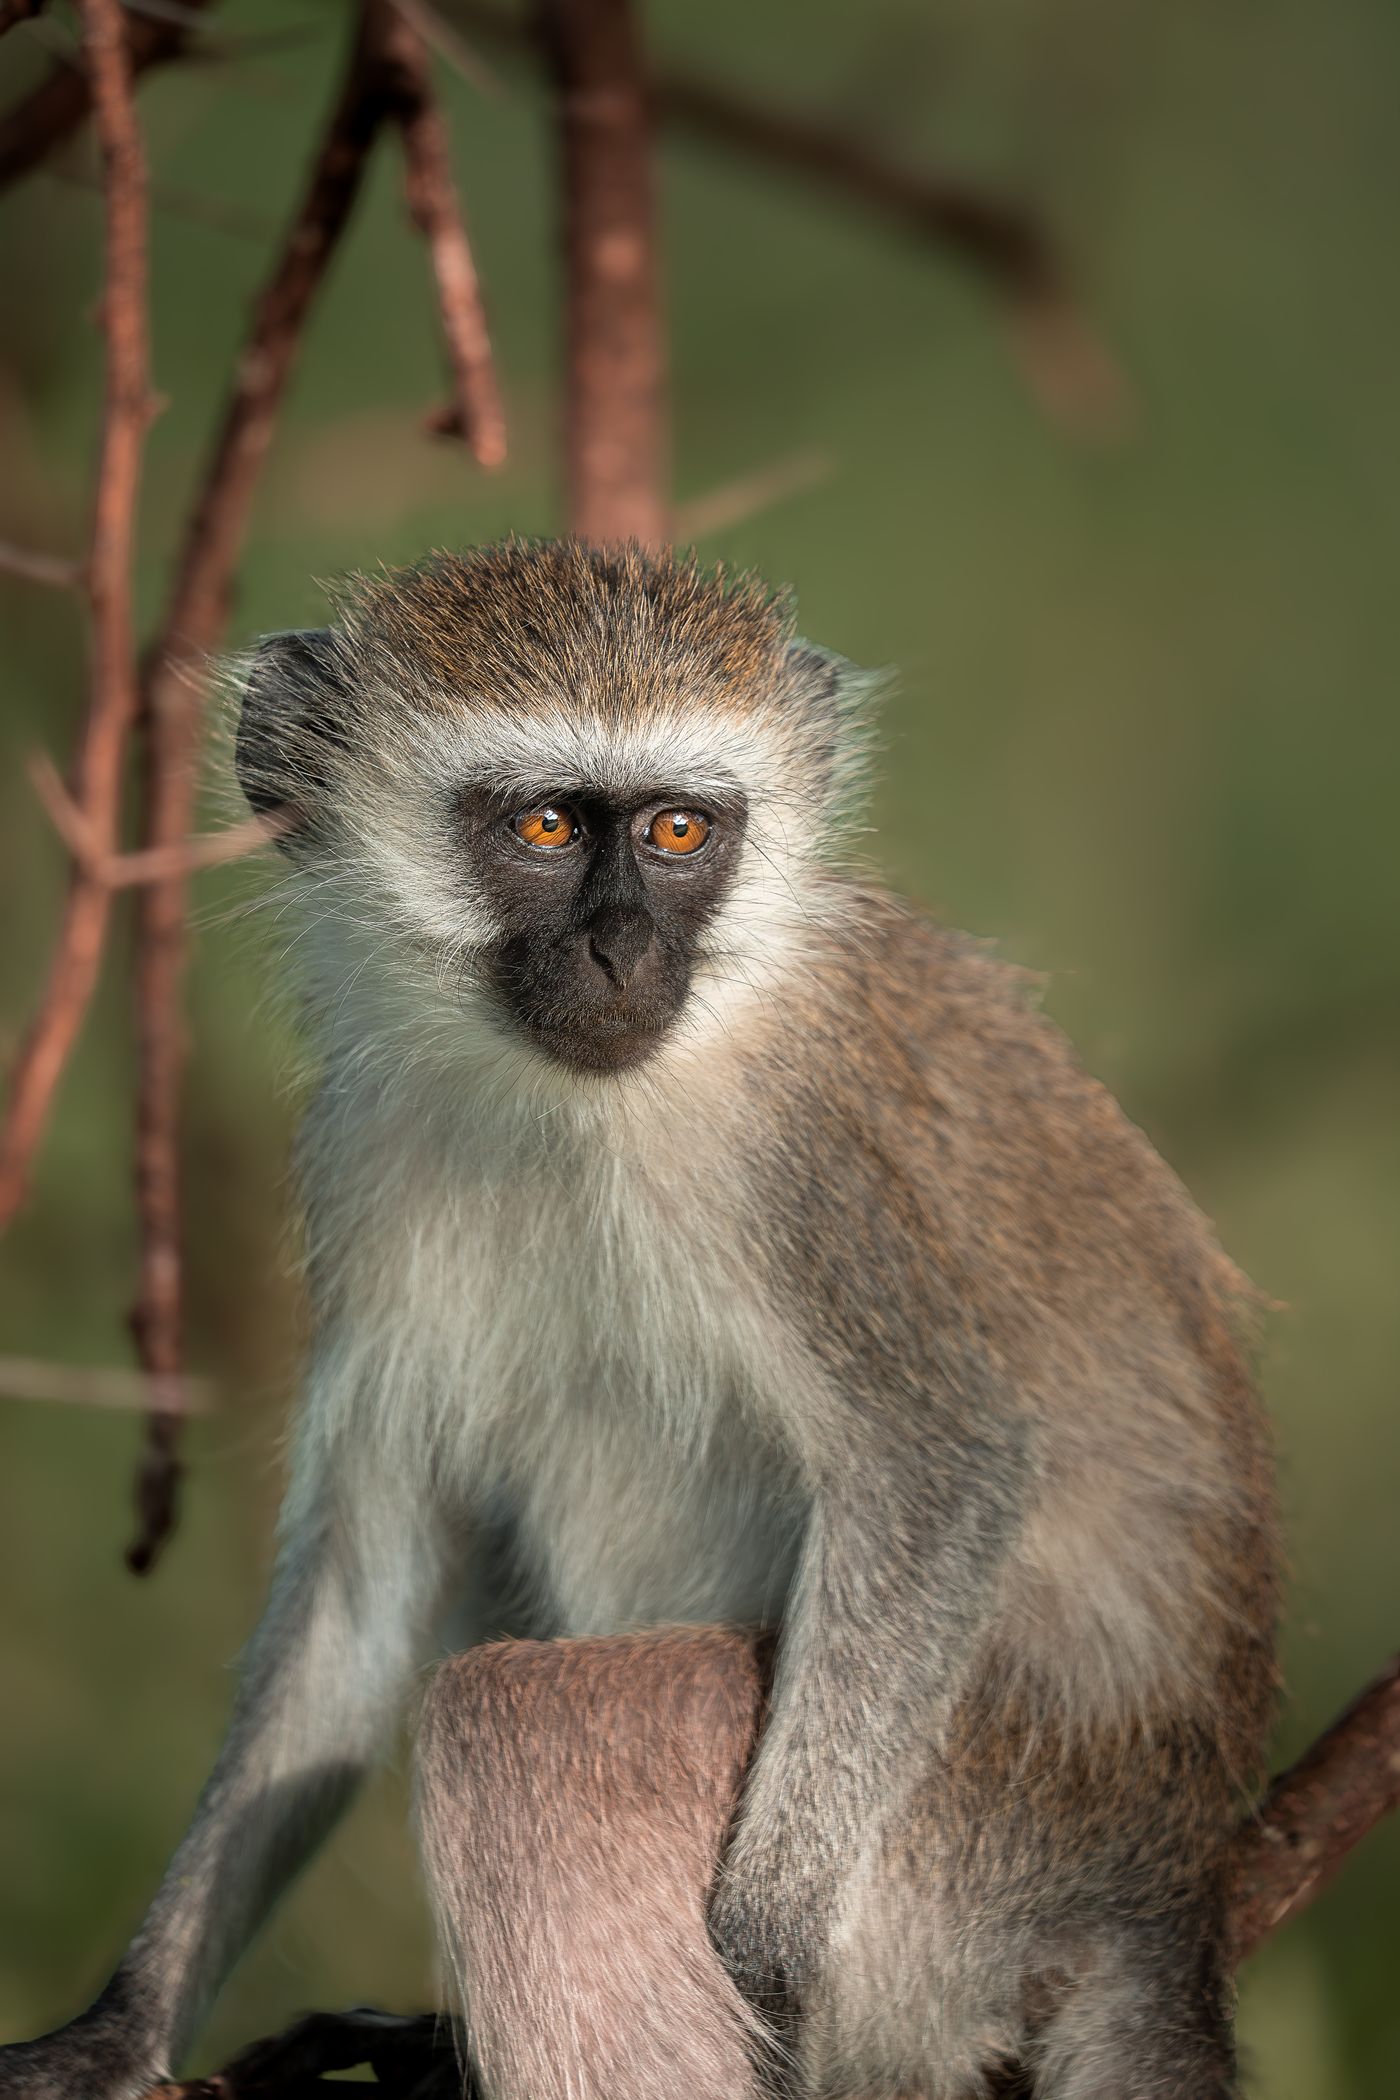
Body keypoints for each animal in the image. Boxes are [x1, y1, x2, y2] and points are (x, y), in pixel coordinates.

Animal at [0, 537, 1278, 2100]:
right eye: (547, 825)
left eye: (677, 833)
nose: (619, 951)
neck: (589, 1107)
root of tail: (1163, 1881)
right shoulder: (369, 1148)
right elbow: (363, 1586)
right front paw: (123, 2022)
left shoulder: (802, 1169)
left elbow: (941, 1469)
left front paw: (766, 1934)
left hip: (973, 1850)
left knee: (521, 1724)